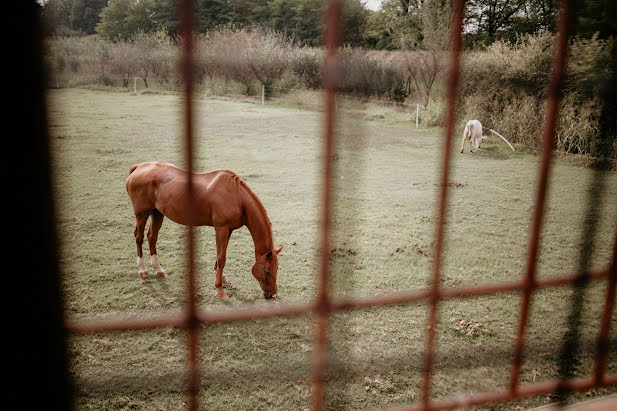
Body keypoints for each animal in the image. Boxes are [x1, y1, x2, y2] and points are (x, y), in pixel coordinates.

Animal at [125, 160, 282, 300]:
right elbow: (222, 258)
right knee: (139, 237)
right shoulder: (221, 228)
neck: (237, 196)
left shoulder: (228, 229)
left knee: (152, 237)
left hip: (157, 213)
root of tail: (138, 168)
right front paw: (220, 291)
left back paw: (158, 269)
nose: (272, 295)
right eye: (267, 271)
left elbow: (220, 256)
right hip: (141, 214)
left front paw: (221, 277)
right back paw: (143, 270)